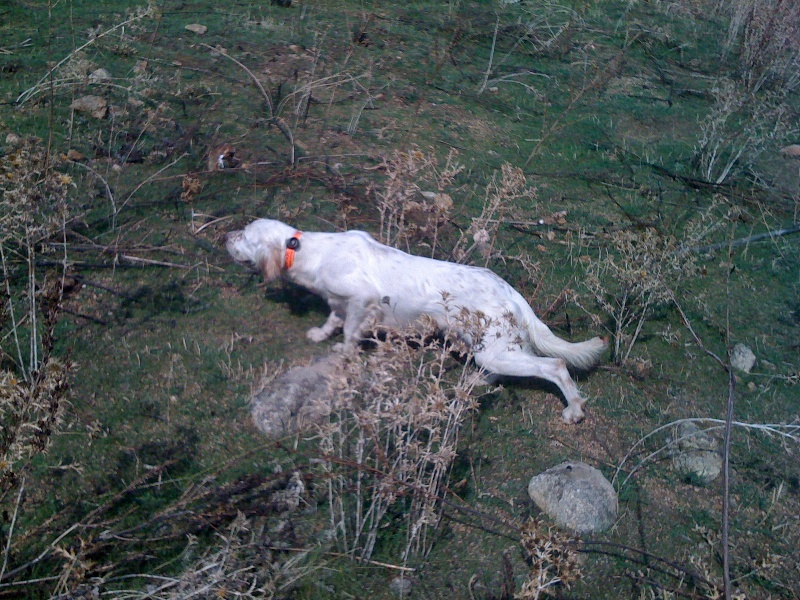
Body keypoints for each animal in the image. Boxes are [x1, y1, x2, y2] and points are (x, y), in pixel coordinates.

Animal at [225, 219, 608, 422]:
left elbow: (348, 333)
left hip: (498, 350)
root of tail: (513, 293)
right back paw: (476, 381)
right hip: (487, 347)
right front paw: (319, 334)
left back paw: (574, 409)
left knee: (555, 365)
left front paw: (341, 355)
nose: (224, 235)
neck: (308, 251)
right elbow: (333, 321)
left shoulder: (362, 299)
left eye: (244, 234)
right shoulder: (339, 302)